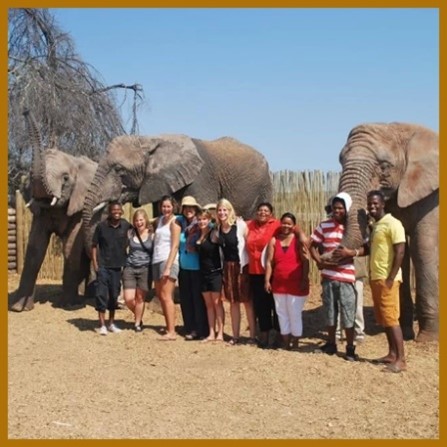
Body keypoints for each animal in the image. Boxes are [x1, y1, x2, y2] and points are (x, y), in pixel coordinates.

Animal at [9, 111, 98, 311]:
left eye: (65, 178)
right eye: (29, 176)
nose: (26, 111)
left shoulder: (80, 204)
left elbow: (71, 247)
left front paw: (69, 305)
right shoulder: (41, 213)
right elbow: (35, 248)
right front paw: (19, 308)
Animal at [335, 122, 438, 342]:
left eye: (384, 166)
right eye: (340, 161)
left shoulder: (433, 195)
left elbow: (422, 248)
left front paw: (426, 339)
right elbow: (401, 252)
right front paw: (405, 332)